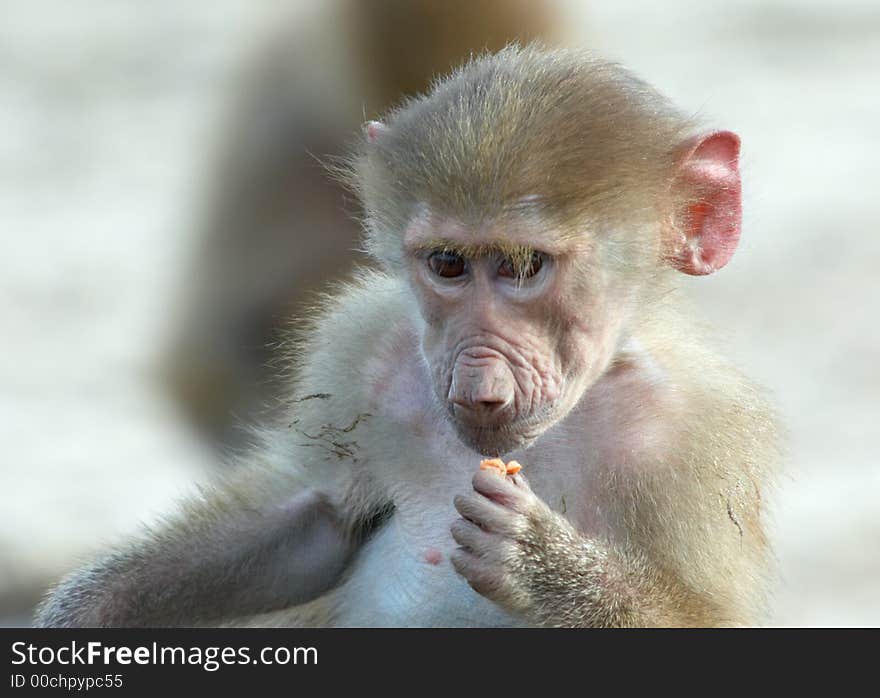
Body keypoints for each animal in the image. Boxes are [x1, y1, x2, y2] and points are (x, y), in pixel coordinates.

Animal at [36, 46, 776, 628]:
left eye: (525, 267)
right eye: (447, 263)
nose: (477, 381)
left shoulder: (691, 435)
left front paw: (540, 565)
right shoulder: (363, 353)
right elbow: (316, 518)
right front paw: (82, 612)